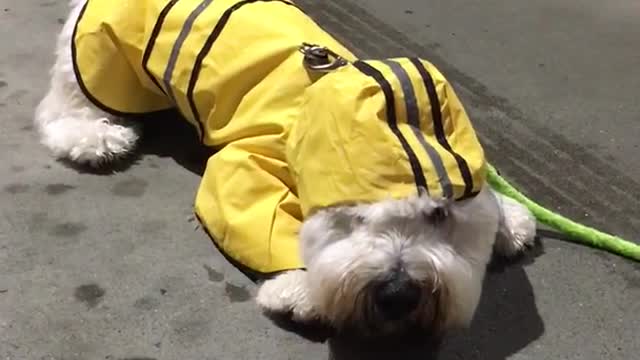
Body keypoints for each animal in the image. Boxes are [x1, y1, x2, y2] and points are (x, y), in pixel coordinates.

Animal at [33, 0, 536, 340]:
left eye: (438, 215)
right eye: (353, 218)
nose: (398, 292)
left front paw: (509, 219)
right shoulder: (247, 161)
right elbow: (249, 206)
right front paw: (301, 287)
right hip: (104, 56)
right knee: (66, 106)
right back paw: (95, 139)